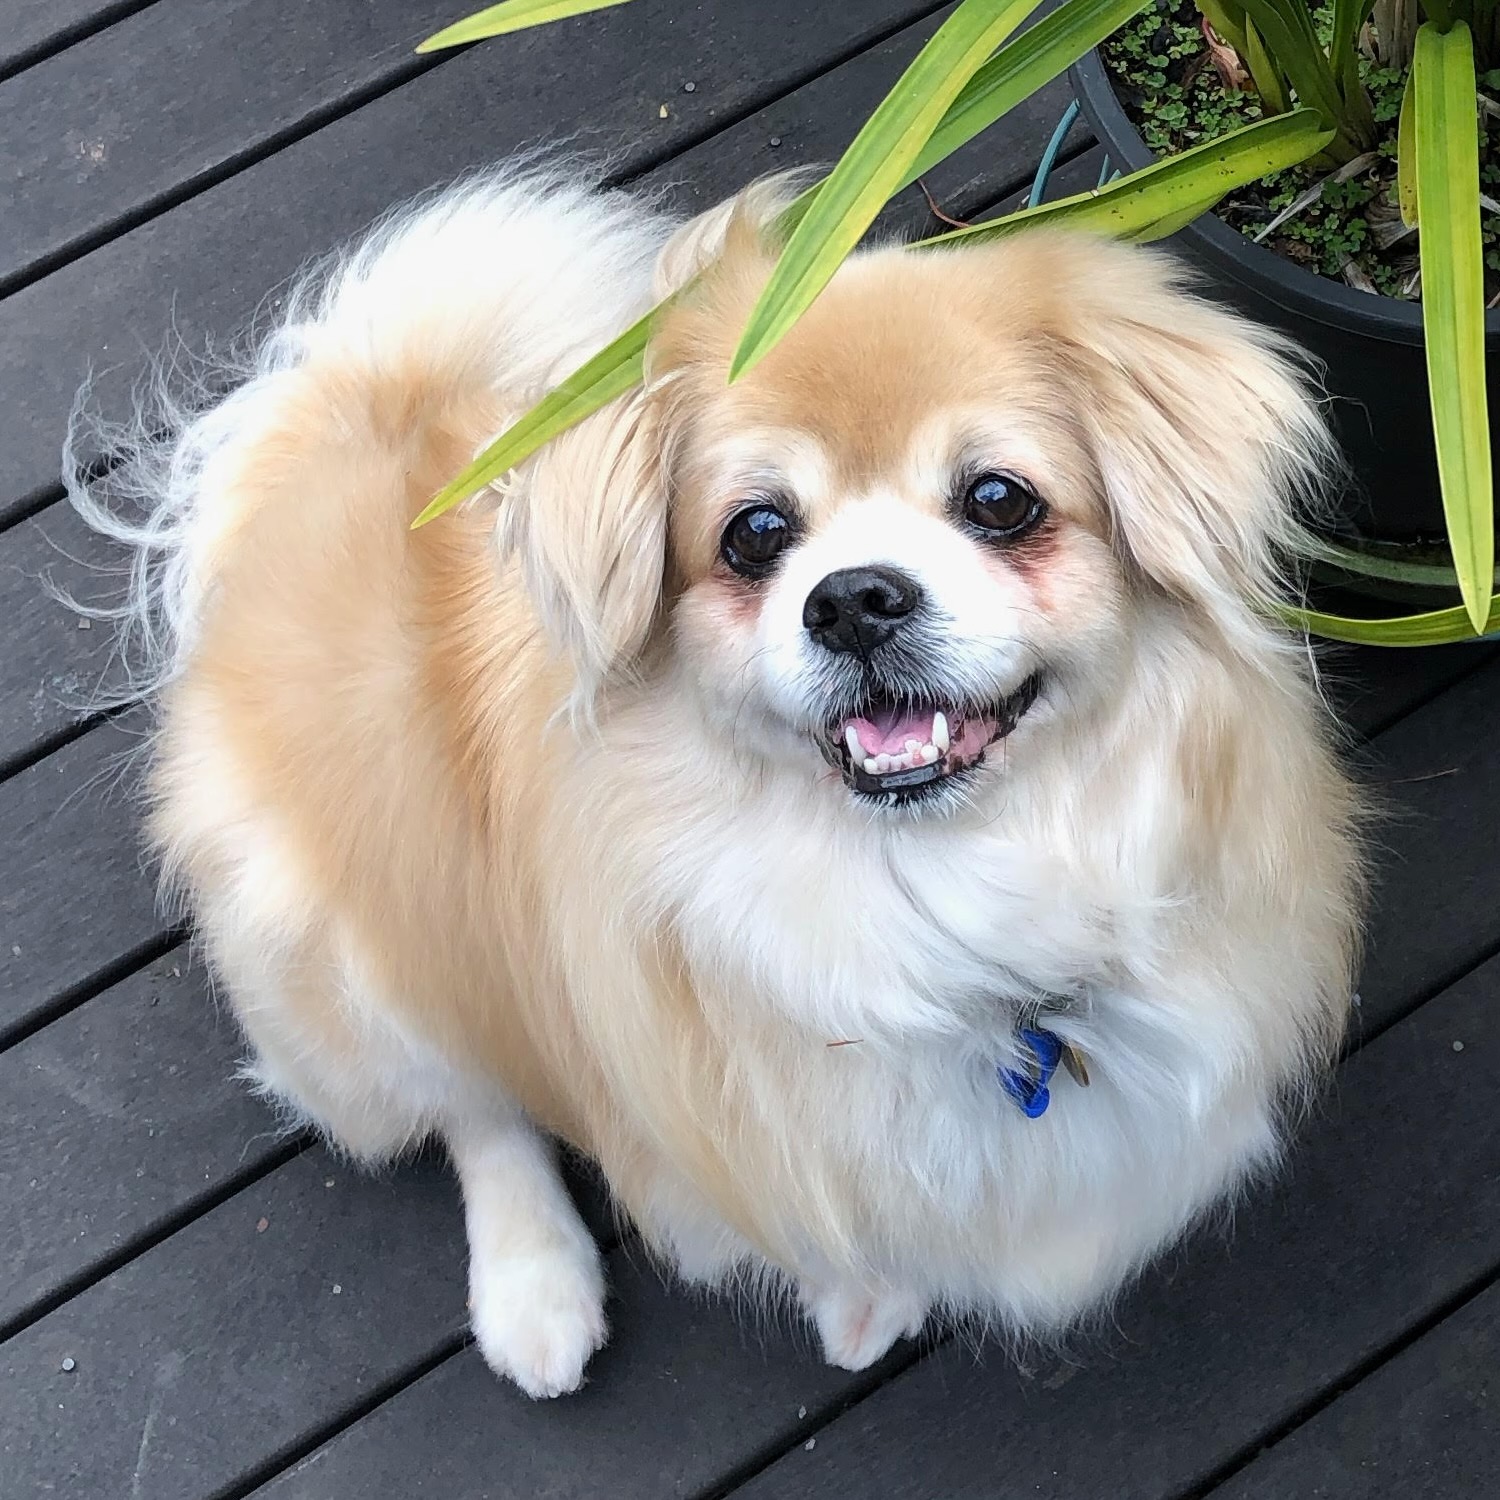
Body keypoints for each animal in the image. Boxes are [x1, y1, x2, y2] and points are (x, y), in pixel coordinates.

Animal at [67, 170, 1362, 1398]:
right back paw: (537, 1294)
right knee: (470, 1101)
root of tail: (347, 413)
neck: (942, 901)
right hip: (335, 963)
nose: (855, 598)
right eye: (754, 534)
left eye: (1000, 500)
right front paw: (863, 1301)